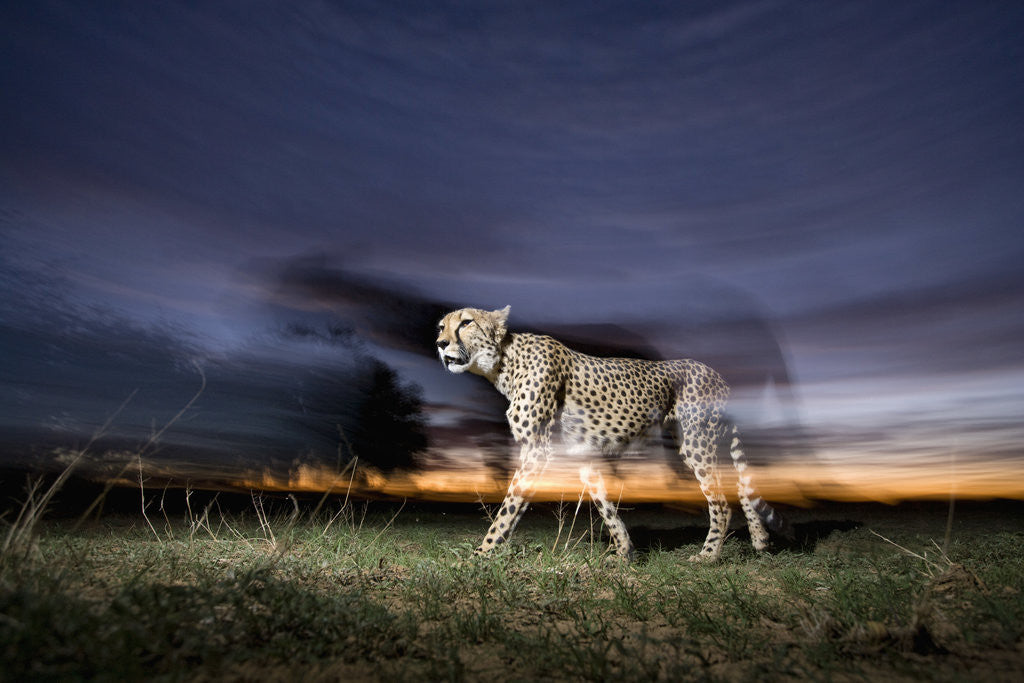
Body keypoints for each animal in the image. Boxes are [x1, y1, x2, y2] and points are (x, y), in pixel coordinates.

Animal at [436, 305, 791, 562]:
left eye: (466, 322)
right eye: (441, 326)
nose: (440, 344)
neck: (504, 363)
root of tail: (718, 375)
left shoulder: (536, 450)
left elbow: (509, 507)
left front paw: (481, 553)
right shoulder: (581, 454)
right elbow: (605, 505)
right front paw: (624, 552)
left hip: (697, 443)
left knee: (721, 500)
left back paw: (709, 556)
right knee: (740, 484)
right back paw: (760, 541)